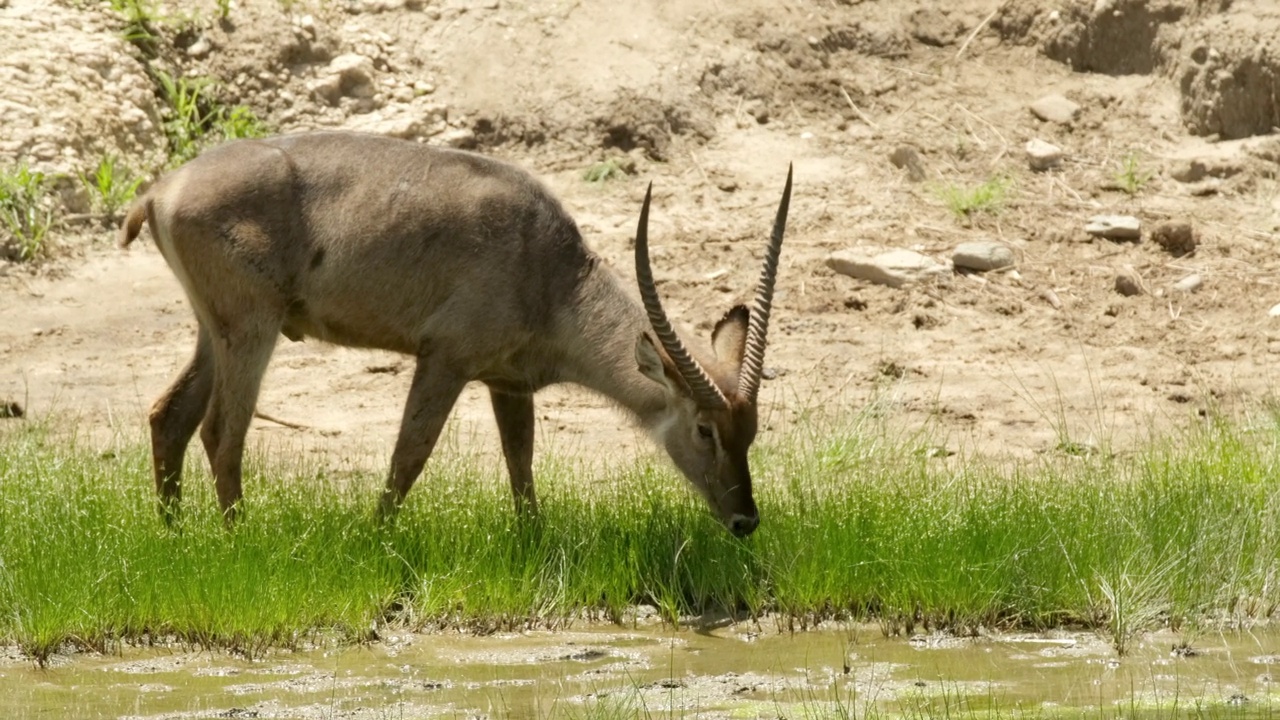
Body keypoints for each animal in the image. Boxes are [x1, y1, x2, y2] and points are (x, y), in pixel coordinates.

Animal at [124, 128, 793, 535]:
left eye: (752, 432)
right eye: (704, 428)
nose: (746, 523)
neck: (548, 267)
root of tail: (160, 189)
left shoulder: (508, 383)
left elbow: (521, 464)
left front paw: (534, 541)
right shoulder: (445, 359)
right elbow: (410, 453)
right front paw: (377, 538)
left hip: (215, 330)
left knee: (170, 416)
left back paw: (175, 536)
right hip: (250, 327)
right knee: (221, 431)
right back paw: (238, 539)